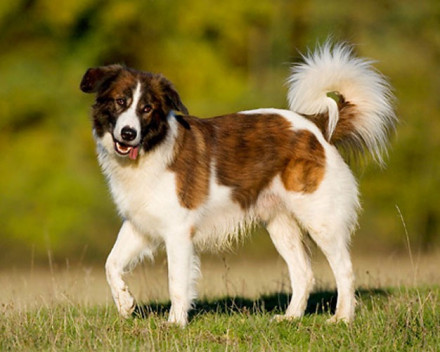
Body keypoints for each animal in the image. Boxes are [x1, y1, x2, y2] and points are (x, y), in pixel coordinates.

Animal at [81, 42, 398, 326]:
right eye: (120, 102)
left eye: (146, 109)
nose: (128, 133)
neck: (151, 149)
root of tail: (316, 125)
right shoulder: (139, 224)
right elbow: (110, 264)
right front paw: (125, 303)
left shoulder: (178, 231)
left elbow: (176, 282)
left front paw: (175, 323)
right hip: (280, 224)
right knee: (303, 273)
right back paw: (291, 317)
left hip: (320, 219)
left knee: (344, 269)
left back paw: (342, 317)